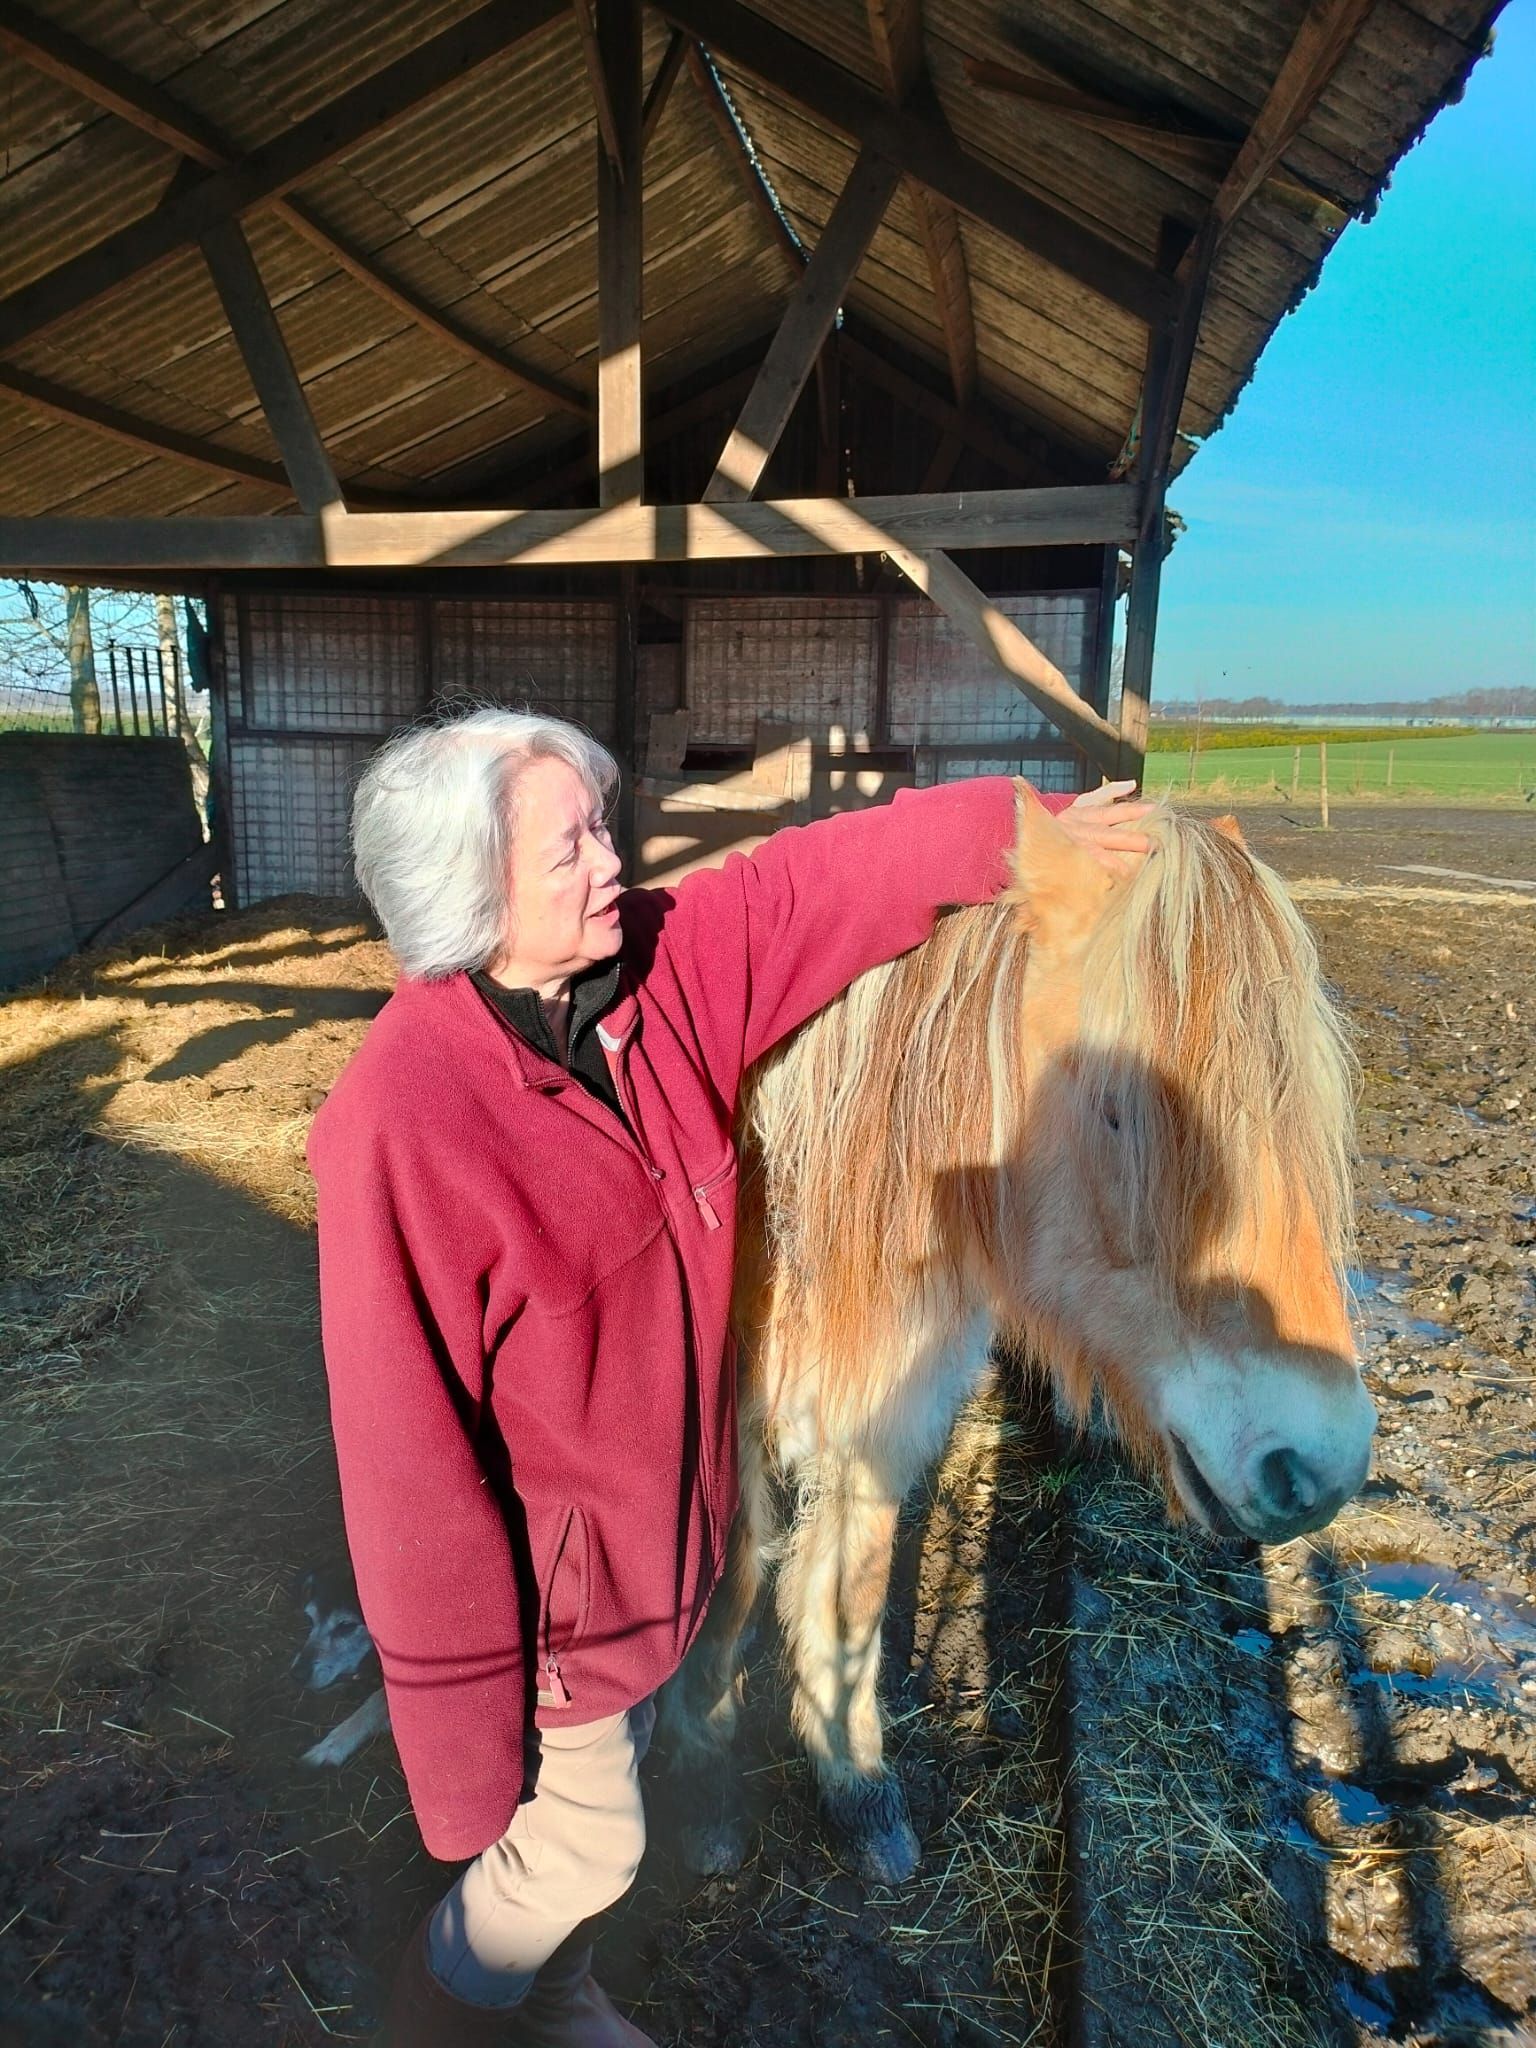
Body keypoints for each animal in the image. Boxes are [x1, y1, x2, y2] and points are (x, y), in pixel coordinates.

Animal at [659, 787, 1376, 1884]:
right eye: (1120, 1110)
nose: (1323, 1462)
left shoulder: (888, 1404)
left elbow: (851, 1587)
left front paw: (857, 1785)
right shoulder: (733, 1403)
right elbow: (736, 1566)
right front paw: (701, 1755)